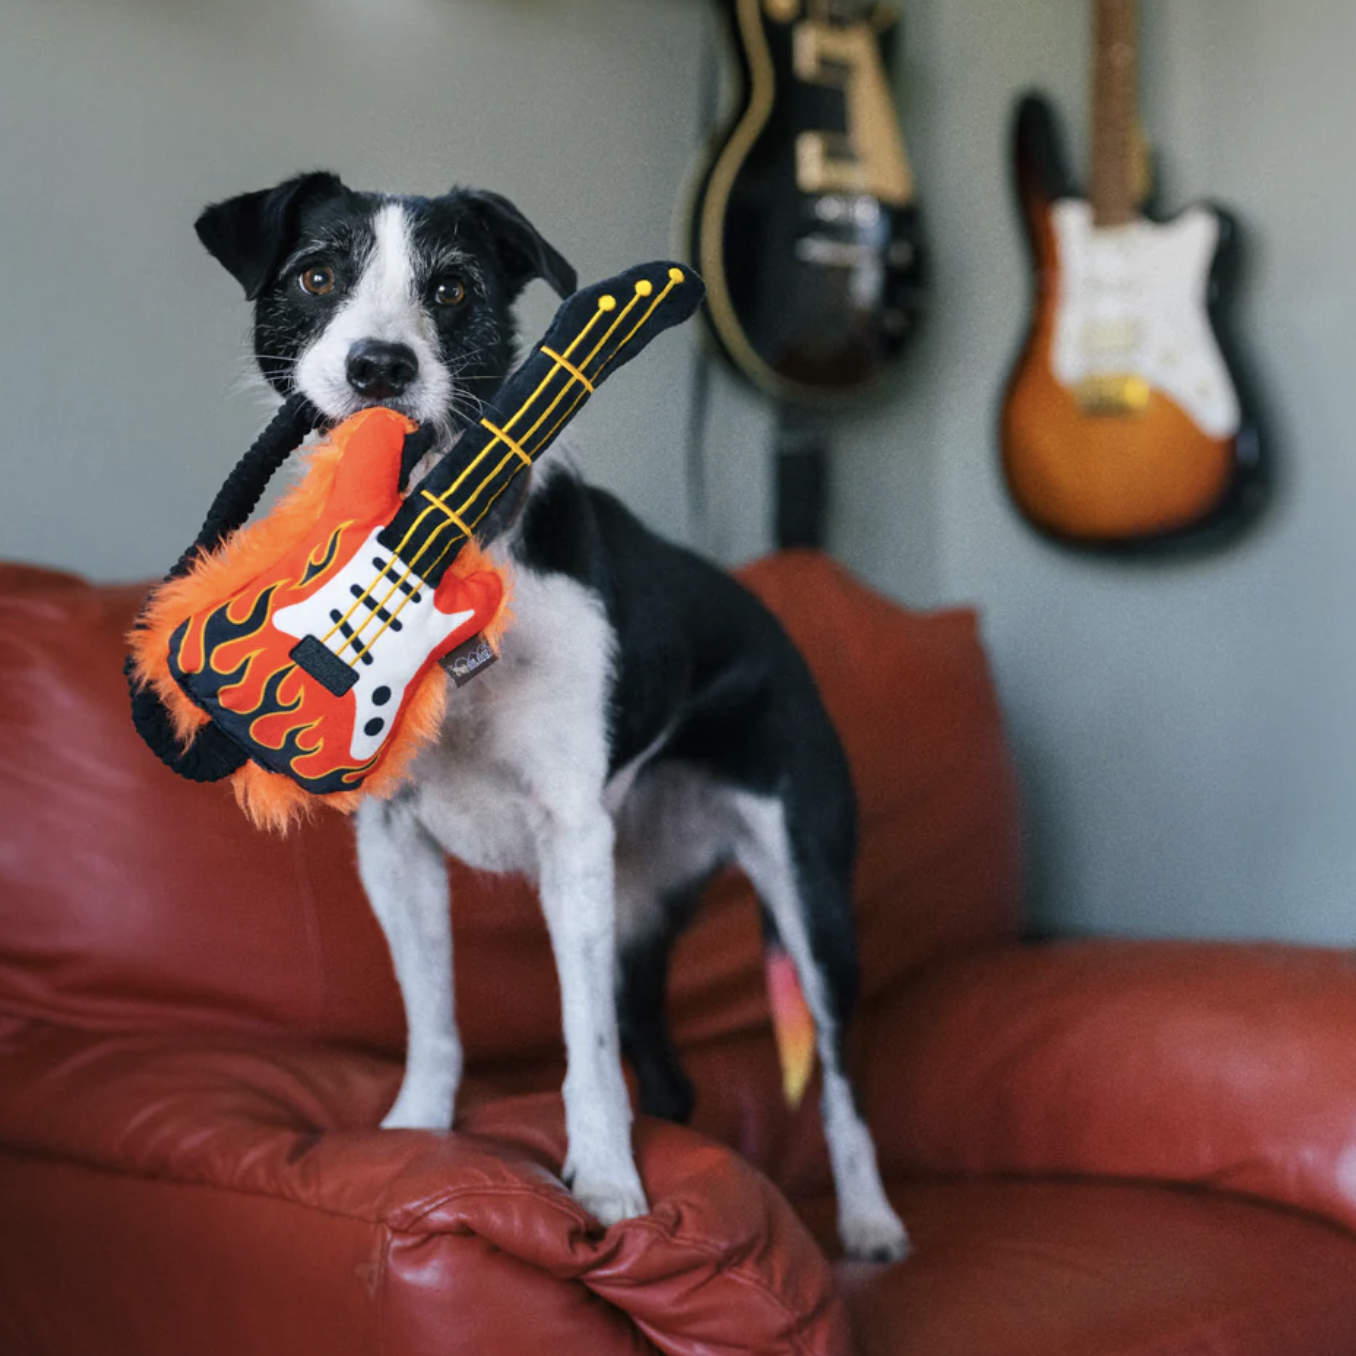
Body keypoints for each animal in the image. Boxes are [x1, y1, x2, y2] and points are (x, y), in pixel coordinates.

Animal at [193, 172, 911, 1258]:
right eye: (316, 276)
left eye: (452, 288)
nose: (379, 366)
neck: (432, 562)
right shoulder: (394, 845)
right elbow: (435, 1017)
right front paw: (413, 1141)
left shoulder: (572, 842)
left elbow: (585, 1044)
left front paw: (609, 1187)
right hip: (640, 914)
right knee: (669, 1069)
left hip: (808, 896)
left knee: (838, 1080)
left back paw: (868, 1219)